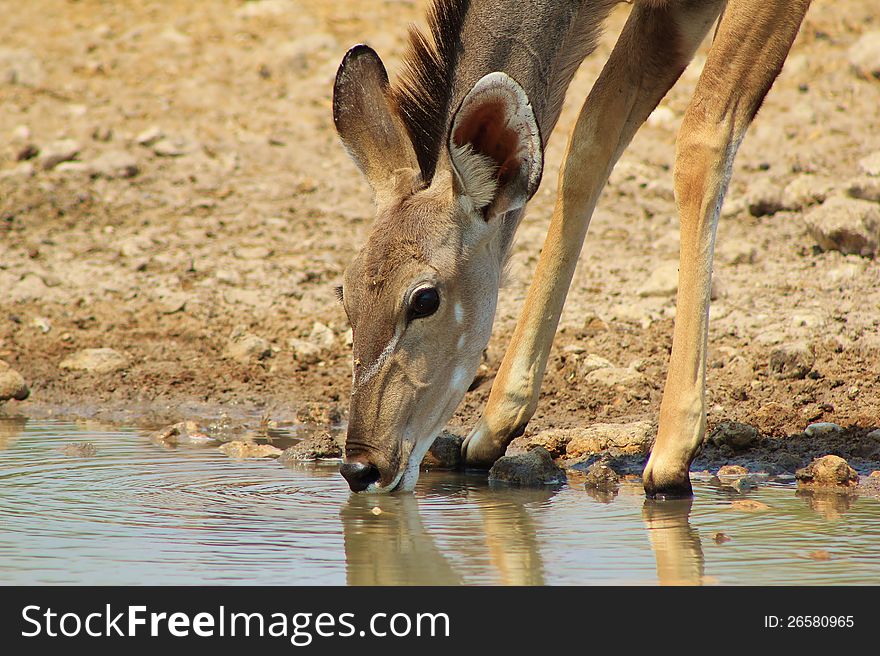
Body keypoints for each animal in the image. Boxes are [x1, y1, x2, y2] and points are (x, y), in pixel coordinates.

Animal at [332, 0, 812, 492]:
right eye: (345, 294)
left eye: (424, 299)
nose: (361, 467)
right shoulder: (671, 13)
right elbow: (590, 137)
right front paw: (490, 431)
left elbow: (702, 137)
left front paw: (670, 457)